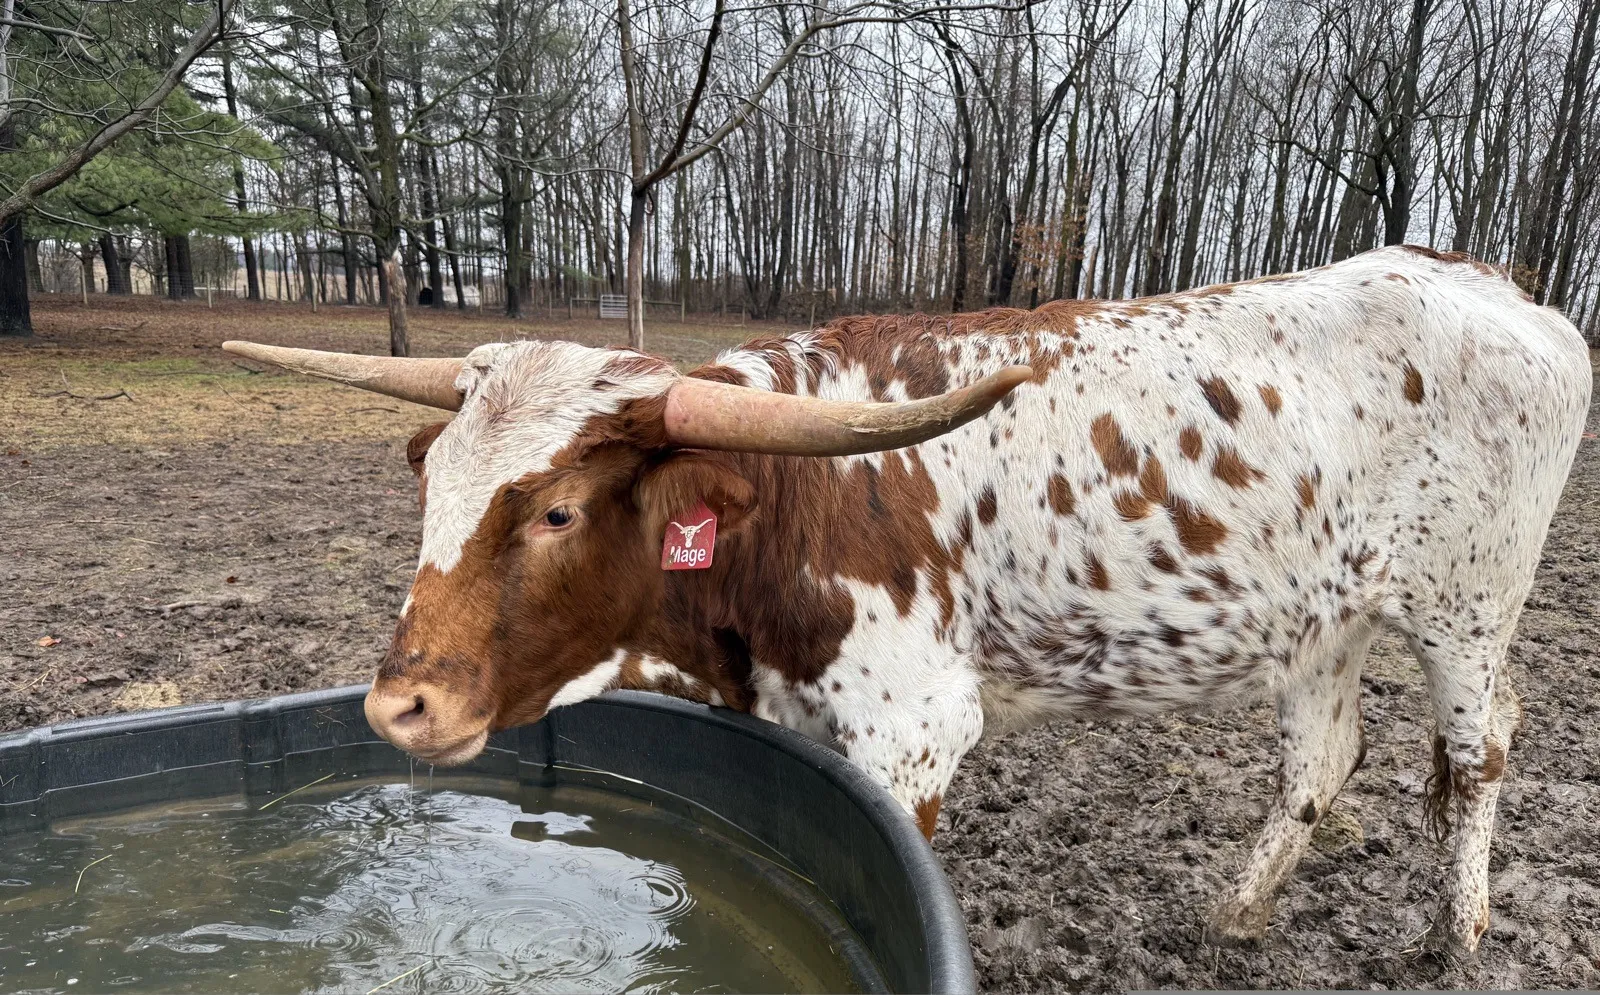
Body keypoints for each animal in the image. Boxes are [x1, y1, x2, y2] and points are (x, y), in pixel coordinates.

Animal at [225, 245, 1592, 958]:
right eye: (429, 481)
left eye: (557, 510)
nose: (400, 706)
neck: (787, 501)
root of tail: (1490, 282)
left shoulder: (915, 726)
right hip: (1320, 618)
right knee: (1320, 756)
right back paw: (1232, 913)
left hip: (1466, 609)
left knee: (1480, 751)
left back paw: (1458, 927)